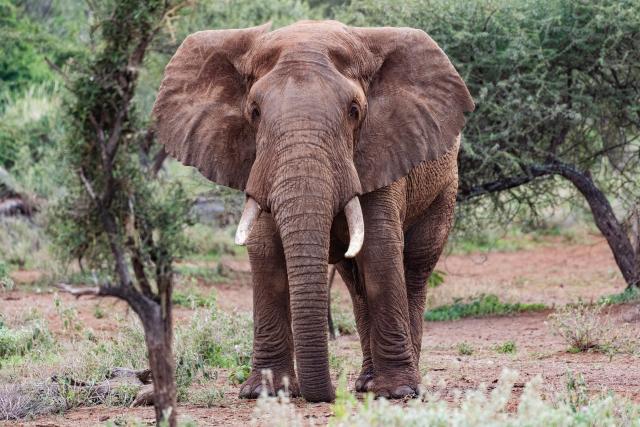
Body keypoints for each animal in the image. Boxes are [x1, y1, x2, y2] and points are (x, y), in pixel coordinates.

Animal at [152, 20, 474, 403]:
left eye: (354, 111)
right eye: (254, 112)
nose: (329, 392)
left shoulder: (382, 152)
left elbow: (380, 250)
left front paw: (397, 392)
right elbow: (266, 253)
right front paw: (264, 391)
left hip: (445, 185)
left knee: (415, 266)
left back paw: (399, 384)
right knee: (354, 281)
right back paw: (365, 383)